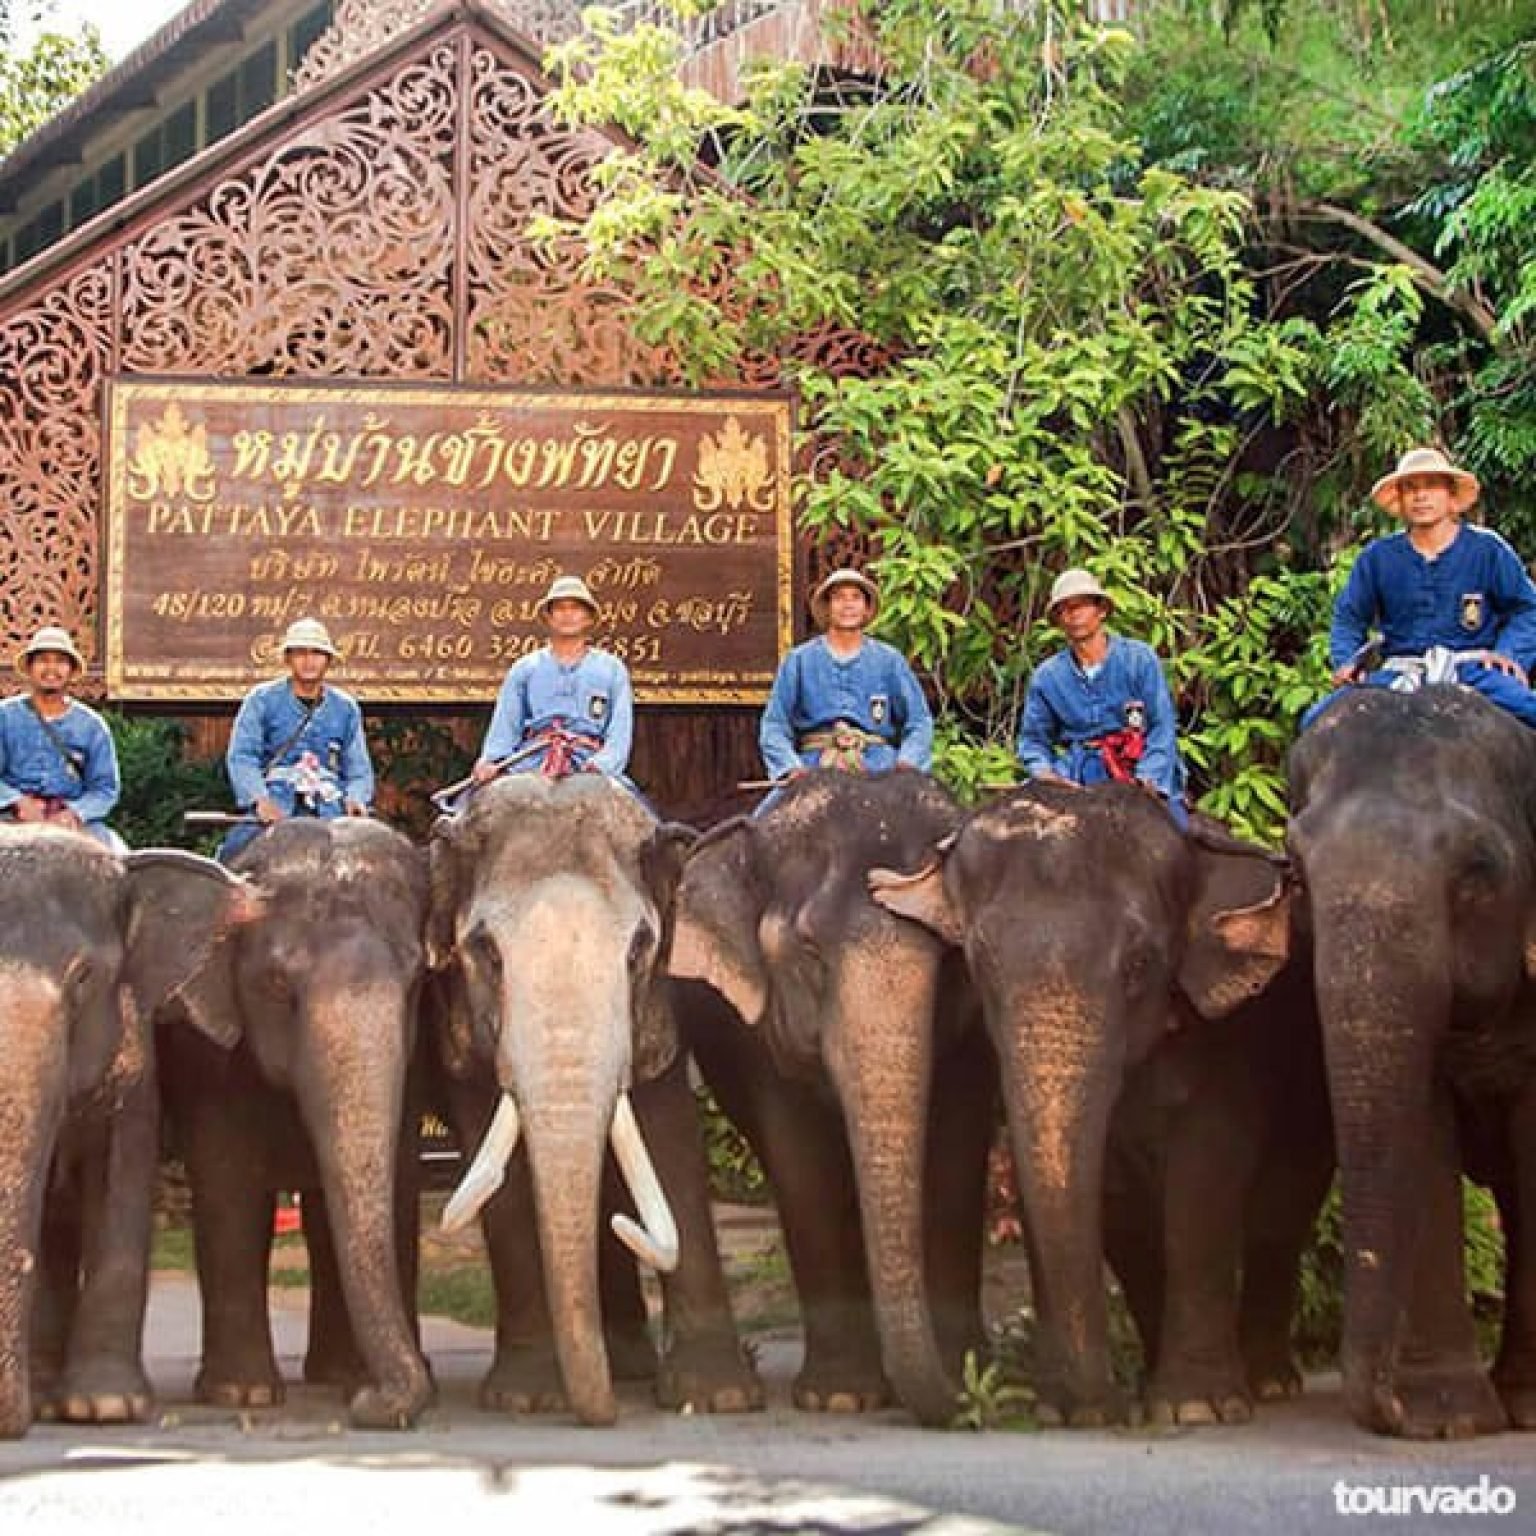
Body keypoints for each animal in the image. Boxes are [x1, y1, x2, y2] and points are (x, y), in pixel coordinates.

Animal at [158, 816, 433, 1429]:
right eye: (279, 988)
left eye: (414, 983)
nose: (372, 1403)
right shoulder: (212, 1059)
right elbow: (229, 1187)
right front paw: (242, 1395)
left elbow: (400, 1182)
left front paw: (357, 1382)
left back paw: (335, 1373)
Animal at [424, 773, 762, 1427]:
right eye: (486, 950)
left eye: (638, 949)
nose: (604, 1416)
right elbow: (500, 1175)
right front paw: (525, 1398)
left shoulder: (657, 1009)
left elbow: (668, 1142)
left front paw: (718, 1398)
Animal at [667, 770, 994, 1428]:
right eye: (811, 951)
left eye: (948, 955)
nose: (967, 1397)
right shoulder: (756, 1033)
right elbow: (803, 1165)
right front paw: (840, 1397)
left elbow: (956, 1156)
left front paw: (964, 1368)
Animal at [869, 781, 1332, 1427]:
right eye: (980, 965)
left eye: (1139, 964)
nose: (1104, 1400)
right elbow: (1114, 1206)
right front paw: (1078, 1410)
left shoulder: (1225, 1045)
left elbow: (1204, 1184)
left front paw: (1194, 1409)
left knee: (1280, 1211)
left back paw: (1268, 1385)